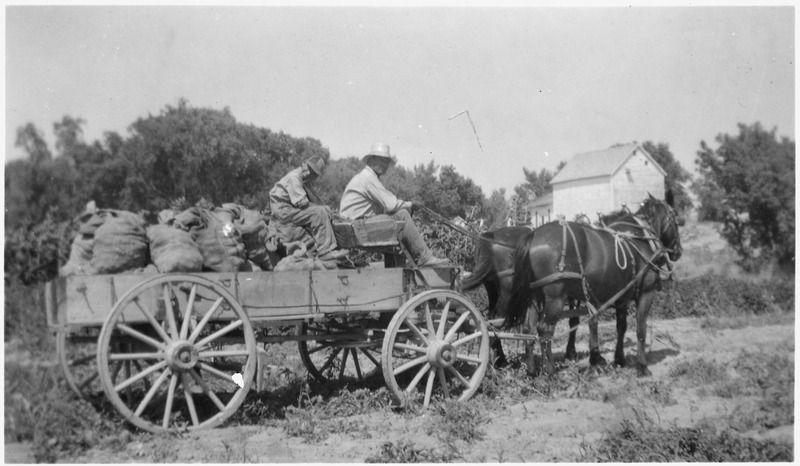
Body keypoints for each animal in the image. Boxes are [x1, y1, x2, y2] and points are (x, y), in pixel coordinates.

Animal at [506, 194, 680, 378]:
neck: (639, 239)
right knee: (545, 330)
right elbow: (641, 329)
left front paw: (619, 359)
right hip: (555, 297)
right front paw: (642, 366)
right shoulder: (646, 292)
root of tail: (533, 235)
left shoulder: (622, 297)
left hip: (534, 294)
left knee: (528, 330)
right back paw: (551, 372)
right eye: (675, 219)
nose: (678, 251)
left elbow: (621, 327)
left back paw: (531, 372)